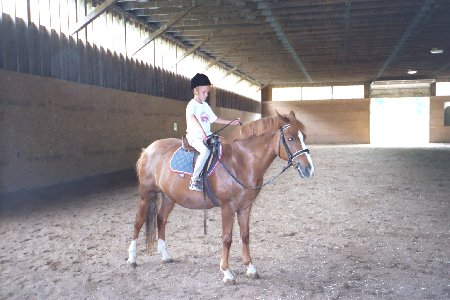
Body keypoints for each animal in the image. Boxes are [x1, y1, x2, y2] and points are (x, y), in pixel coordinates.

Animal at [126, 111, 314, 284]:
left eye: (304, 136)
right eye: (290, 138)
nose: (309, 169)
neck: (241, 162)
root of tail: (148, 149)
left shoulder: (245, 207)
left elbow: (245, 235)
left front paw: (250, 268)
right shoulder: (227, 207)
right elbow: (227, 238)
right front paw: (227, 272)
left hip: (168, 196)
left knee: (161, 219)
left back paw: (165, 255)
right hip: (147, 193)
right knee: (138, 221)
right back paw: (132, 258)